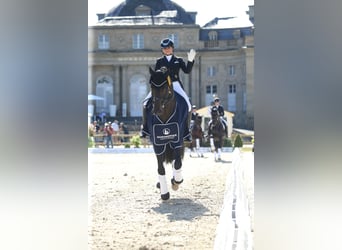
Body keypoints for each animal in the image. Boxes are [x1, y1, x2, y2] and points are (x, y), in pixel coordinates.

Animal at [145, 67, 187, 200]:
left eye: (164, 88)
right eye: (152, 87)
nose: (156, 110)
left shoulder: (177, 140)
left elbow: (177, 163)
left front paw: (176, 182)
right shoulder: (157, 143)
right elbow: (160, 168)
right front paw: (164, 193)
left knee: (176, 161)